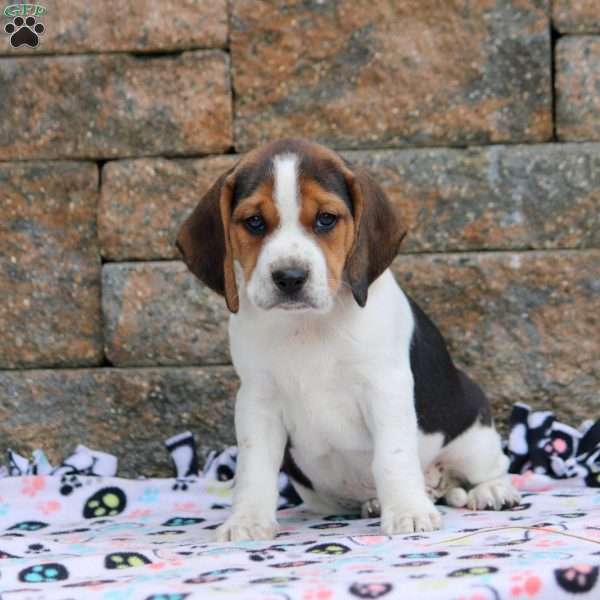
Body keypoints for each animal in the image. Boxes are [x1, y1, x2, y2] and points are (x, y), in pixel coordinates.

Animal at [175, 138, 520, 540]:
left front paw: (408, 512)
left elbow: (392, 456)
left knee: (492, 467)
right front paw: (246, 521)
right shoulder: (257, 400)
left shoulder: (385, 387)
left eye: (326, 219)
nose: (290, 277)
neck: (307, 324)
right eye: (254, 222)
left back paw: (490, 491)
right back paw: (374, 502)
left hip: (472, 432)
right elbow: (254, 467)